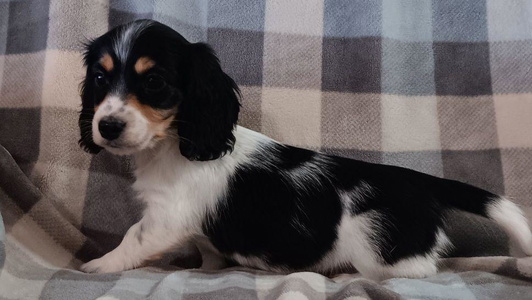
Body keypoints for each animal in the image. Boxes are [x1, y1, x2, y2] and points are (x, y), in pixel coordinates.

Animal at [79, 19, 532, 280]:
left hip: (385, 256)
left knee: (423, 269)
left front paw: (97, 266)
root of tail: (422, 183)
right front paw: (210, 269)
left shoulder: (165, 218)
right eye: (100, 79)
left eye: (154, 83)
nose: (107, 127)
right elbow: (209, 252)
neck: (175, 144)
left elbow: (132, 239)